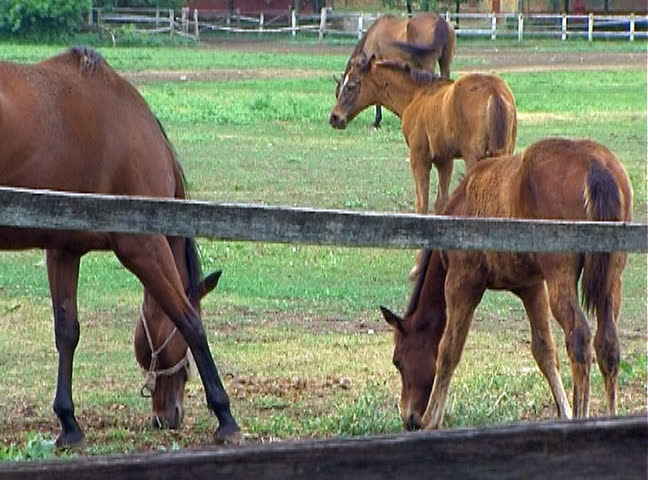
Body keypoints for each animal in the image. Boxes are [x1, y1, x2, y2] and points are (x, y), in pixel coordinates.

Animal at [0, 47, 242, 448]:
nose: (168, 416)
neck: (128, 125)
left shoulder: (63, 251)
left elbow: (67, 332)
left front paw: (69, 423)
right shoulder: (143, 246)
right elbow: (188, 321)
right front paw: (225, 416)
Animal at [380, 138, 632, 431]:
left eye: (397, 360)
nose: (409, 418)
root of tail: (595, 166)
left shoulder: (462, 283)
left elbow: (448, 350)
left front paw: (432, 420)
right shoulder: (532, 287)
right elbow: (544, 351)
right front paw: (564, 411)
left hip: (561, 275)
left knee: (579, 336)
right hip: (611, 279)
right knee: (608, 344)